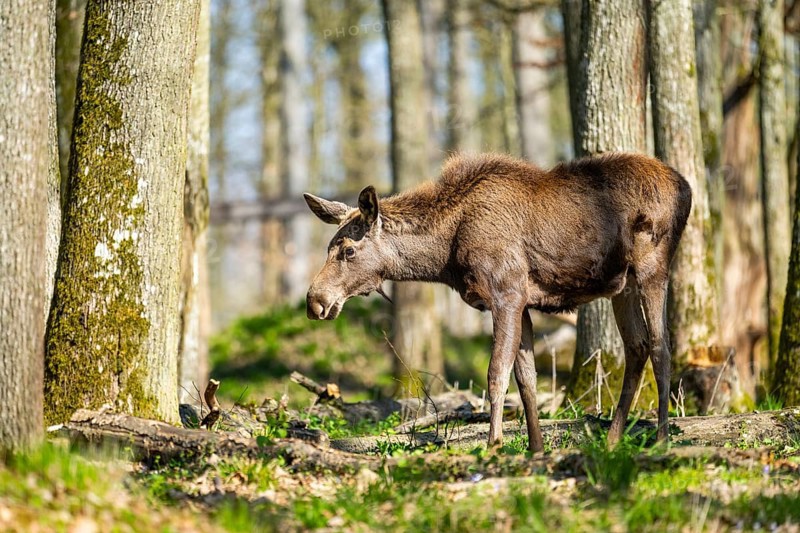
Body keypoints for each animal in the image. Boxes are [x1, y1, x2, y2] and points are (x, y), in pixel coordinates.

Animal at [303, 152, 691, 452]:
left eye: (348, 250)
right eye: (328, 248)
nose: (315, 301)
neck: (445, 256)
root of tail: (687, 187)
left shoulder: (506, 294)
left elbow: (495, 373)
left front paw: (495, 445)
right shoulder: (523, 303)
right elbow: (527, 379)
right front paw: (535, 448)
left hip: (652, 267)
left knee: (661, 345)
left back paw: (661, 439)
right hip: (621, 285)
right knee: (637, 346)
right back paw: (612, 439)